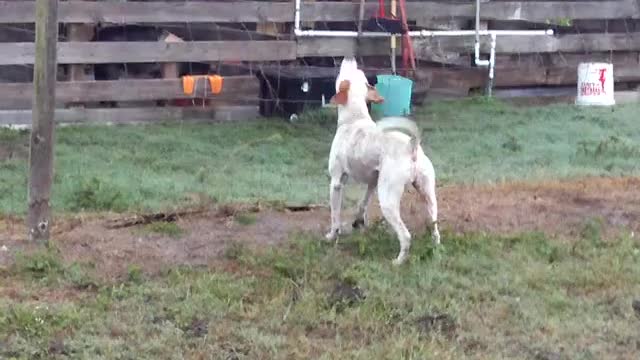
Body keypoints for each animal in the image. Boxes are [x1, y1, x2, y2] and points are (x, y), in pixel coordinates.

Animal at [324, 57, 440, 264]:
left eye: (342, 75)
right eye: (360, 73)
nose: (349, 58)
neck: (354, 118)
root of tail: (411, 146)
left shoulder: (336, 182)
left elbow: (335, 215)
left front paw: (332, 235)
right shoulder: (373, 182)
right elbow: (362, 203)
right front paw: (358, 223)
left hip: (388, 201)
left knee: (406, 236)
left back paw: (398, 261)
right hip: (428, 194)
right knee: (435, 229)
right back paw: (434, 249)